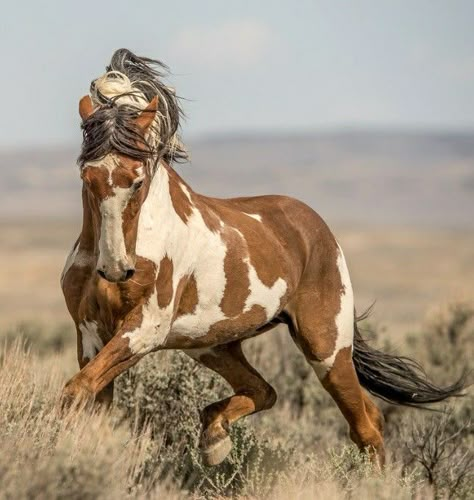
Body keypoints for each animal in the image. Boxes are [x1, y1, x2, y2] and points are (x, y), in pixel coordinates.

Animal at [61, 48, 464, 466]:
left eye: (138, 180)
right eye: (86, 176)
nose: (116, 269)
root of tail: (320, 230)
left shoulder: (143, 330)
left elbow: (76, 391)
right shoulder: (91, 334)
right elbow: (85, 397)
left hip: (327, 348)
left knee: (365, 424)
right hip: (213, 345)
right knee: (268, 391)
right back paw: (215, 437)